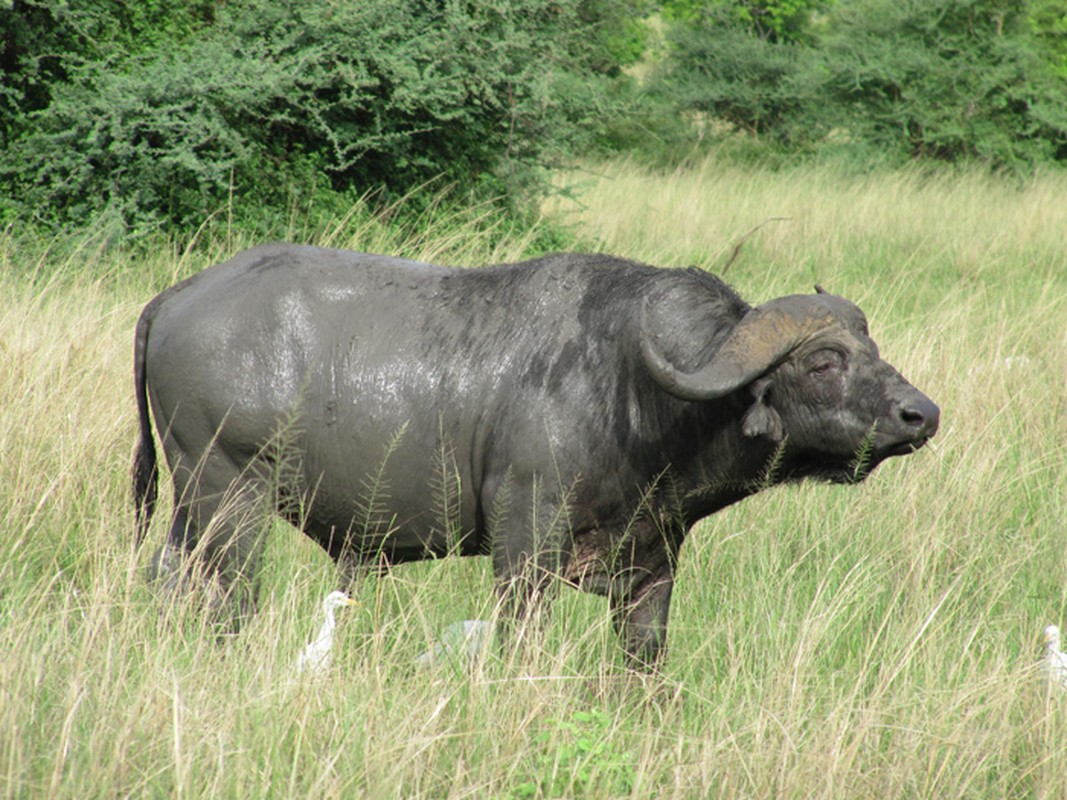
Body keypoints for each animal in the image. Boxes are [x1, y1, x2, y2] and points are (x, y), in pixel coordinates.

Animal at [131, 246, 934, 669]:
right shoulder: (524, 540)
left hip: (187, 508)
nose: (919, 414)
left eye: (871, 348)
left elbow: (643, 656)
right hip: (227, 497)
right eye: (825, 361)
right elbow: (522, 637)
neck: (634, 391)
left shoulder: (654, 560)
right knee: (225, 598)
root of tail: (177, 296)